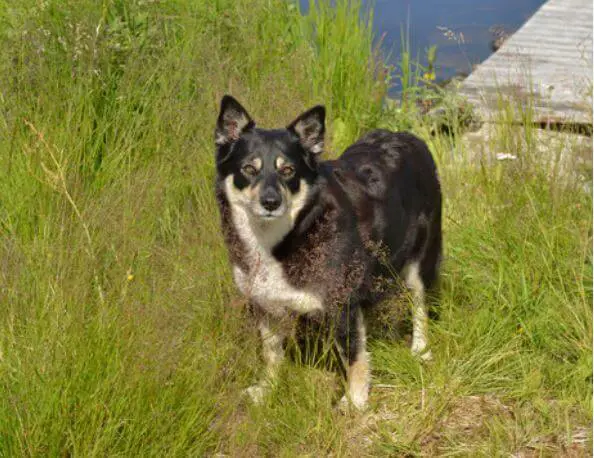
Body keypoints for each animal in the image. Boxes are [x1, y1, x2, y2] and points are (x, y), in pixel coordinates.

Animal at [213, 95, 440, 410]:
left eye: (288, 171)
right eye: (249, 169)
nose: (271, 202)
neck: (292, 233)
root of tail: (408, 136)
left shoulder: (342, 303)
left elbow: (354, 357)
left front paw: (355, 401)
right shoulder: (264, 303)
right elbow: (271, 354)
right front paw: (266, 388)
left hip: (419, 263)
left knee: (420, 305)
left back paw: (420, 348)